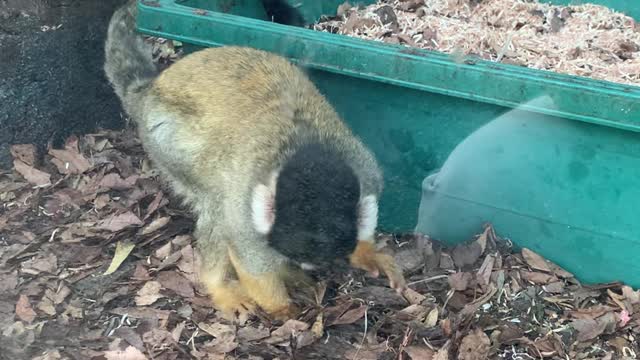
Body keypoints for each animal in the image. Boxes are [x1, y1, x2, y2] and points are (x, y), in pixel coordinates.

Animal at [103, 0, 408, 320]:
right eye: (296, 252)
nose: (304, 265)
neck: (308, 151)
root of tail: (149, 90)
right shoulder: (245, 207)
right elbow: (248, 255)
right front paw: (282, 308)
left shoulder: (368, 172)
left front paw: (367, 254)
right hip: (165, 138)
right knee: (215, 202)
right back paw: (219, 284)